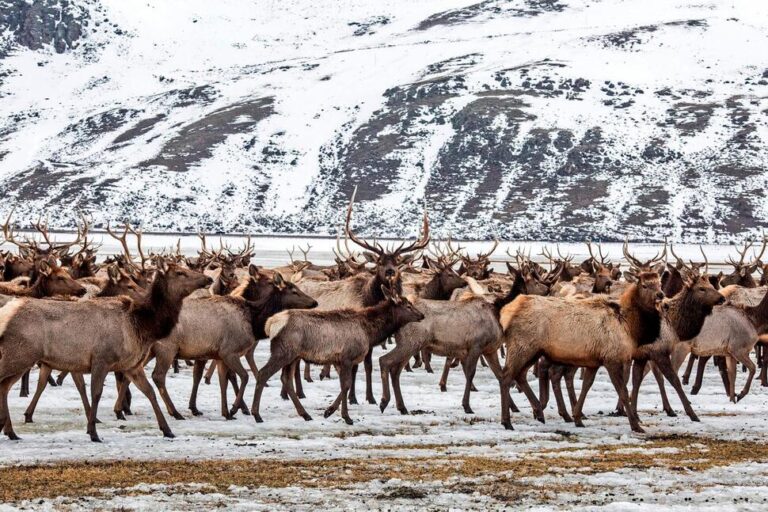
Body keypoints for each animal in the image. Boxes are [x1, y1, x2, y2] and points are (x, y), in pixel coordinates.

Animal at [0, 260, 212, 442]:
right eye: (180, 273)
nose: (208, 279)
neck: (141, 327)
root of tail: (7, 313)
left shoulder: (131, 365)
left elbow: (149, 391)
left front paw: (167, 429)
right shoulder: (101, 359)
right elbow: (96, 393)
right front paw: (93, 432)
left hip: (21, 359)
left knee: (4, 386)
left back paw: (10, 431)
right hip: (19, 355)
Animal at [252, 283, 424, 425]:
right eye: (408, 306)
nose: (422, 315)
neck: (370, 333)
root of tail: (270, 324)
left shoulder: (339, 360)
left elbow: (345, 386)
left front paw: (330, 411)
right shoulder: (347, 357)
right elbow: (346, 385)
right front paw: (345, 416)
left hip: (293, 356)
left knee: (286, 379)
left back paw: (305, 414)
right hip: (283, 352)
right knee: (263, 373)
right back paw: (256, 414)